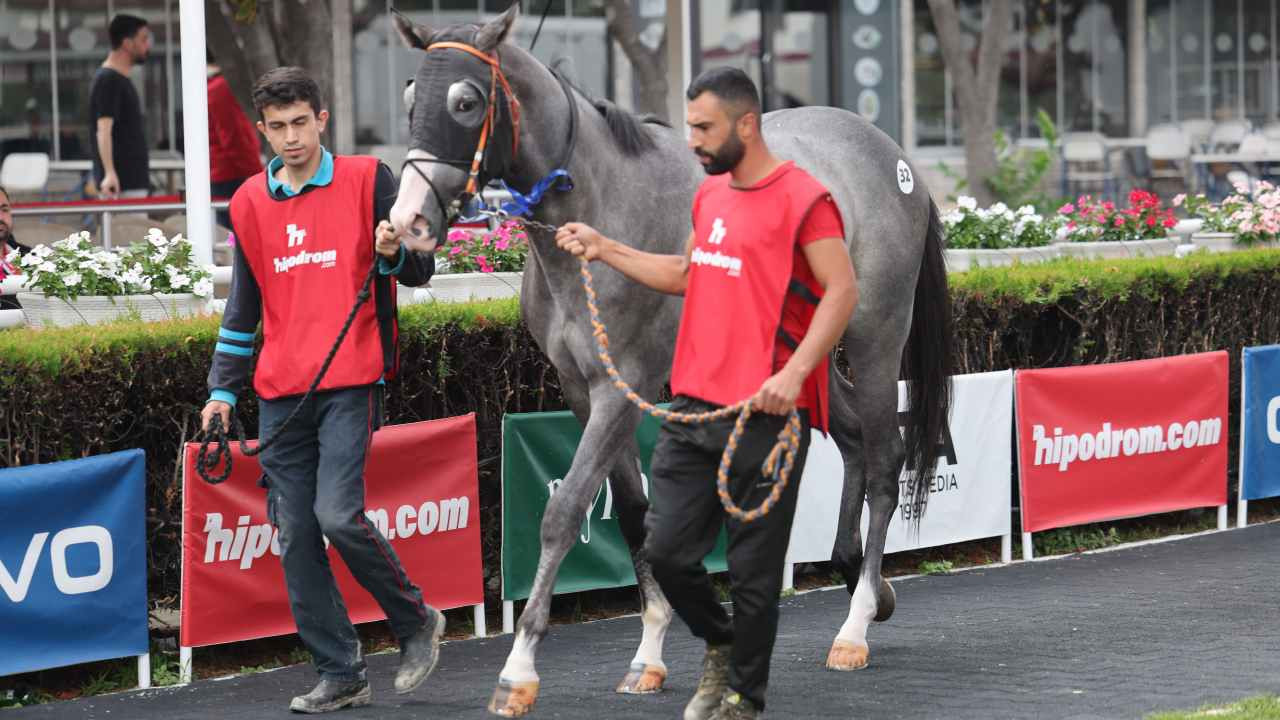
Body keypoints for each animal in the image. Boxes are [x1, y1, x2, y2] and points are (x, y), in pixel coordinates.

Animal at [386, 4, 952, 712]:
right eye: (410, 98)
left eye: (465, 102)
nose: (408, 220)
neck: (603, 201)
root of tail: (895, 157)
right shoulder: (584, 390)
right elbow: (634, 515)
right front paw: (650, 649)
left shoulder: (621, 386)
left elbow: (565, 512)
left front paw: (519, 668)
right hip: (805, 354)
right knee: (851, 439)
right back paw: (859, 579)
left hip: (875, 336)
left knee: (882, 459)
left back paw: (856, 623)